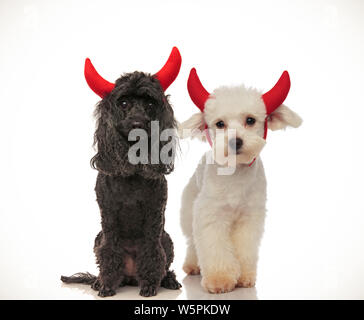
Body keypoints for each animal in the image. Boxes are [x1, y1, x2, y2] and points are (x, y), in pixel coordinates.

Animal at [61, 47, 185, 298]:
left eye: (150, 104)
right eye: (124, 102)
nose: (137, 123)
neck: (132, 170)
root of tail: (130, 277)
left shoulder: (154, 216)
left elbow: (152, 252)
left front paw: (150, 284)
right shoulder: (107, 217)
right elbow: (110, 252)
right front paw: (107, 285)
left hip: (167, 239)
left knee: (164, 263)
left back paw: (168, 280)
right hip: (98, 238)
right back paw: (99, 281)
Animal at [179, 69, 302, 294]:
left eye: (250, 120)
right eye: (220, 124)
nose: (235, 141)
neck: (235, 174)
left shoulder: (249, 218)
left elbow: (244, 248)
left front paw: (243, 277)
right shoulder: (210, 216)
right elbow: (213, 247)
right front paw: (219, 279)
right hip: (189, 210)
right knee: (193, 241)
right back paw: (193, 265)